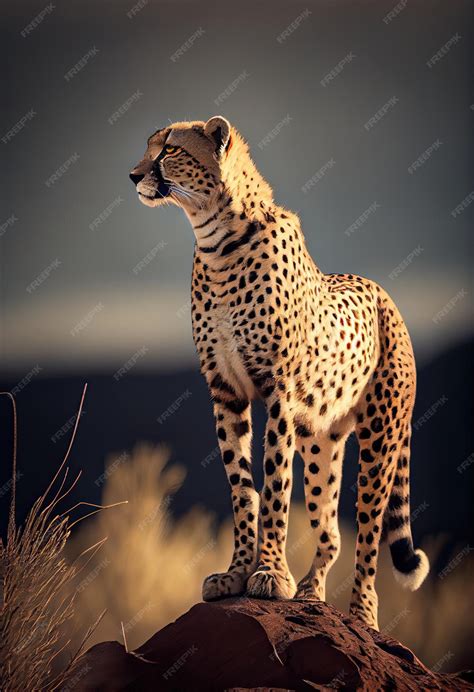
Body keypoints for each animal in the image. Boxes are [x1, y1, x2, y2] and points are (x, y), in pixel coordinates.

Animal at [130, 116, 429, 629]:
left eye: (169, 149)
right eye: (149, 147)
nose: (133, 175)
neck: (216, 240)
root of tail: (382, 291)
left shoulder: (278, 392)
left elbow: (273, 487)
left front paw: (268, 573)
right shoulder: (225, 391)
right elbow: (241, 488)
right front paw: (236, 573)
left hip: (381, 437)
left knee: (368, 533)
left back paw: (362, 615)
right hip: (321, 440)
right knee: (330, 532)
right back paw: (311, 595)